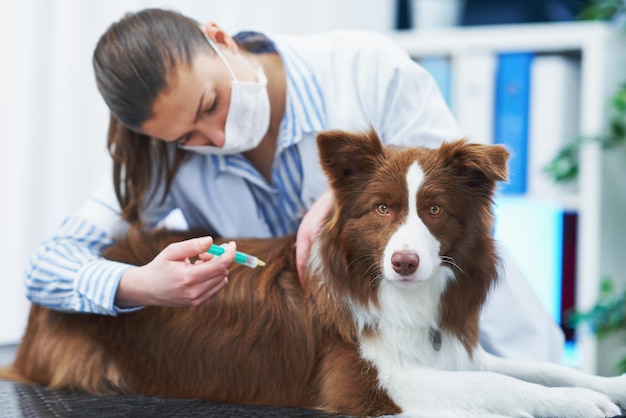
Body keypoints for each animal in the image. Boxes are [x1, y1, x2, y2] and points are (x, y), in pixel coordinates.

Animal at [1, 130, 624, 414]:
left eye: (434, 210)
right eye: (381, 208)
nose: (404, 261)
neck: (401, 294)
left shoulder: (454, 350)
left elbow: (538, 369)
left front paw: (605, 385)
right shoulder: (367, 383)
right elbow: (498, 385)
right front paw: (578, 404)